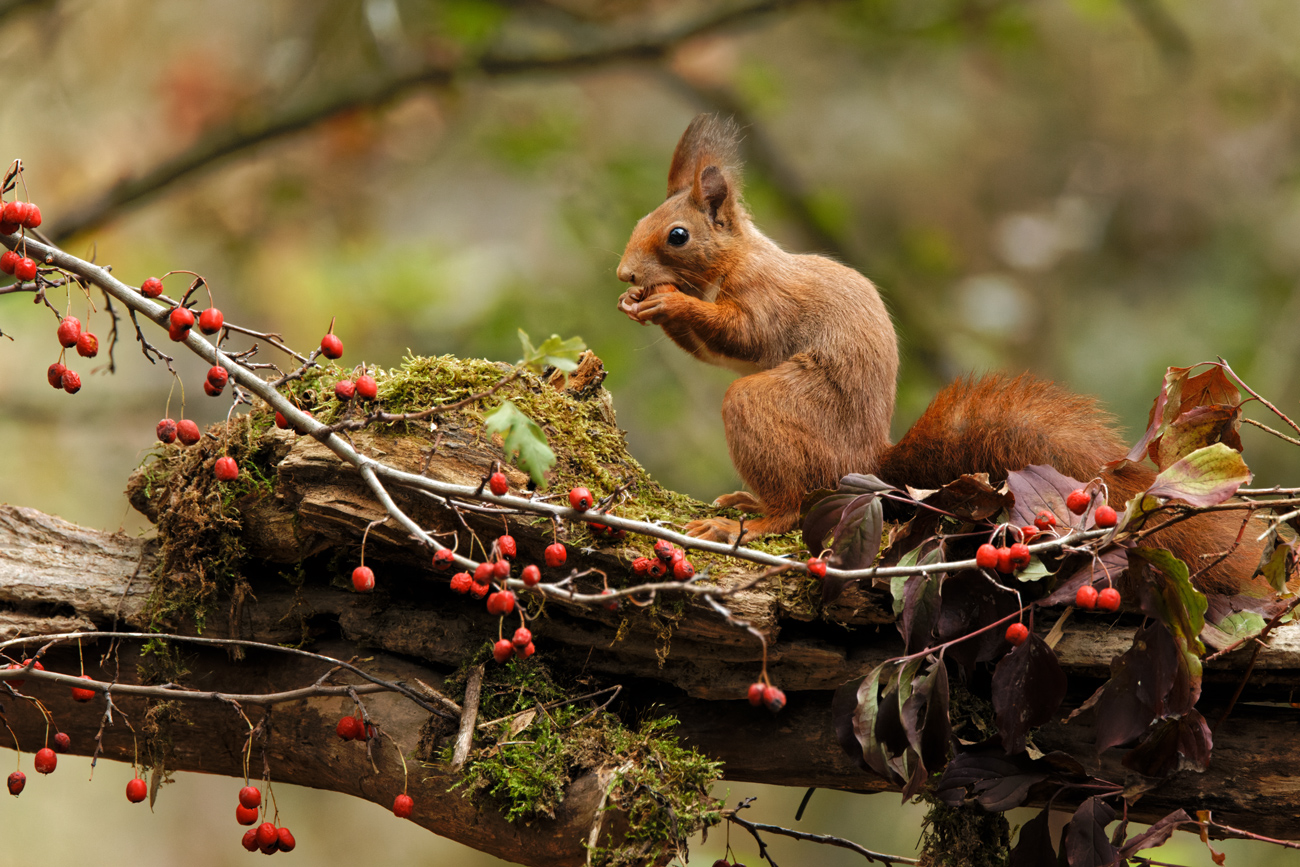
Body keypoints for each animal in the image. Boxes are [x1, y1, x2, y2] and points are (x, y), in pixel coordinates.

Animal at [616, 114, 1265, 596]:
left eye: (677, 235)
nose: (624, 273)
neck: (737, 260)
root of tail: (870, 462)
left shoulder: (766, 301)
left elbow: (744, 340)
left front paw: (668, 301)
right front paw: (637, 303)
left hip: (772, 411)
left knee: (792, 500)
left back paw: (746, 516)